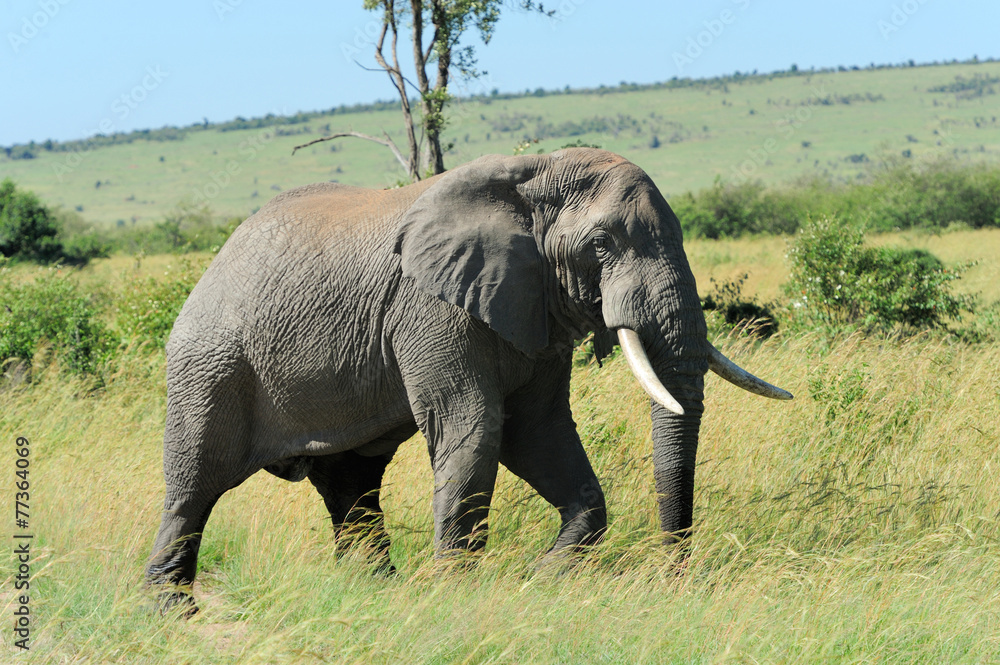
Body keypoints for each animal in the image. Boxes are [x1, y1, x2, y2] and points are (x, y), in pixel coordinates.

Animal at [146, 148, 791, 609]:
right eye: (601, 245)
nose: (673, 578)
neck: (535, 174)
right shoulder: (431, 307)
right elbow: (475, 428)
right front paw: (456, 595)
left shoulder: (536, 309)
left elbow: (538, 432)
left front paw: (540, 576)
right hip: (210, 363)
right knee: (194, 486)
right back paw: (170, 614)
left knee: (352, 485)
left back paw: (375, 594)